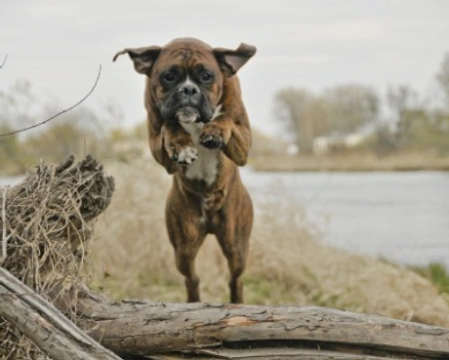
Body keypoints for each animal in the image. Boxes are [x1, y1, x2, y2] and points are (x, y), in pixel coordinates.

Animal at [114, 38, 256, 304]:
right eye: (169, 76)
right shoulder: (158, 148)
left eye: (207, 76)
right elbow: (169, 125)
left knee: (236, 278)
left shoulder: (243, 146)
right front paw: (182, 144)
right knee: (192, 278)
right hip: (184, 247)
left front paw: (215, 130)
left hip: (236, 246)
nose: (189, 90)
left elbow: (226, 119)